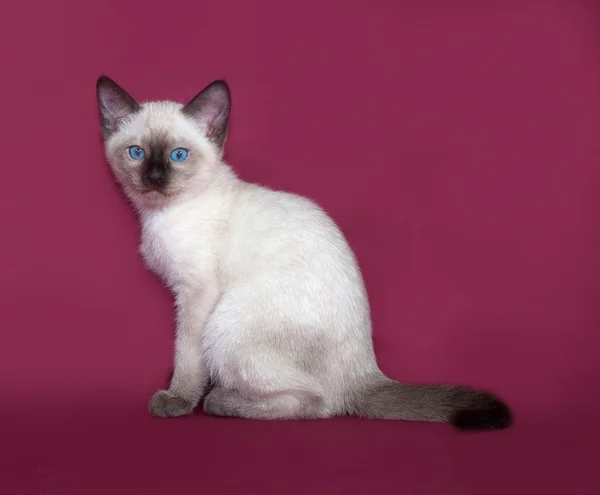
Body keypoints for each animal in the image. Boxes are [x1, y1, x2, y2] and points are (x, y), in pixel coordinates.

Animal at [95, 76, 510, 430]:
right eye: (136, 153)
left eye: (178, 155)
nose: (154, 178)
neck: (159, 214)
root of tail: (366, 370)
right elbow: (184, 354)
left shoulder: (195, 294)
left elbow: (185, 353)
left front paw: (178, 398)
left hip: (225, 325)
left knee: (318, 403)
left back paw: (221, 400)